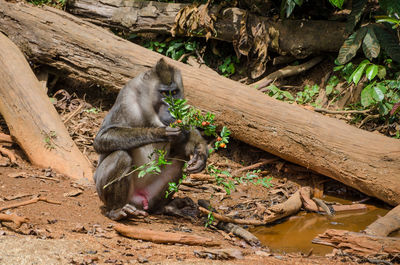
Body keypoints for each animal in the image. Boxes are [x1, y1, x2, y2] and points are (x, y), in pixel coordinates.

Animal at [92, 58, 208, 220]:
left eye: (174, 92)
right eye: (164, 93)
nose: (171, 110)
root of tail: (138, 201)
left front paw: (201, 152)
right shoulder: (127, 101)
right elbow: (101, 139)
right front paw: (162, 133)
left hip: (152, 195)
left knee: (180, 158)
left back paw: (166, 208)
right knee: (121, 156)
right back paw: (116, 210)